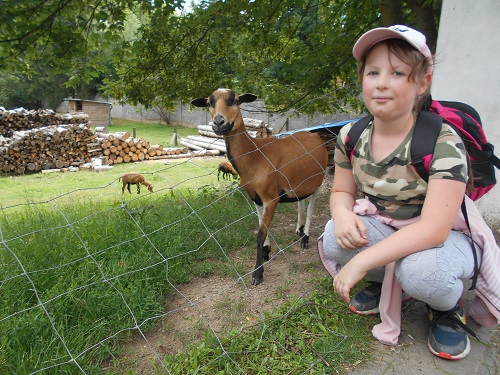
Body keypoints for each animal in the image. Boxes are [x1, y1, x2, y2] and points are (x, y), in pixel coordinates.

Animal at [191, 89, 328, 286]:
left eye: (236, 100)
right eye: (209, 103)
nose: (218, 123)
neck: (255, 156)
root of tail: (314, 135)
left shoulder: (271, 197)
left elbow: (260, 233)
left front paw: (257, 273)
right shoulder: (255, 198)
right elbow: (260, 228)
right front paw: (266, 252)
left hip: (319, 179)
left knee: (311, 206)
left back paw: (305, 238)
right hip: (300, 181)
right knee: (301, 201)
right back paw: (299, 230)